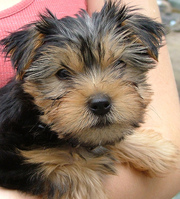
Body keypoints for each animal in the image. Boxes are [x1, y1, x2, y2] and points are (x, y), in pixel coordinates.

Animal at [0, 0, 179, 198]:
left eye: (119, 63)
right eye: (62, 73)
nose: (100, 104)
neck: (42, 123)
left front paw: (156, 149)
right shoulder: (16, 161)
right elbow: (74, 174)